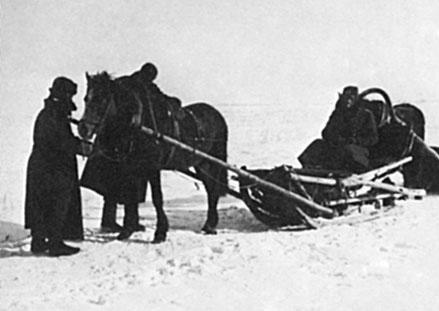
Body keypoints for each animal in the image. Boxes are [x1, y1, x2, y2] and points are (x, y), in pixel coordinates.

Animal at [78, 72, 229, 244]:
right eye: (86, 98)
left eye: (102, 99)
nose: (83, 128)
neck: (141, 125)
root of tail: (216, 114)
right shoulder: (131, 167)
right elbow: (130, 197)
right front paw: (127, 230)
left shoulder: (153, 168)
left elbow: (157, 198)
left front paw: (160, 233)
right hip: (202, 164)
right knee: (211, 189)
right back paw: (209, 224)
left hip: (213, 162)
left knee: (213, 190)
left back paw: (210, 225)